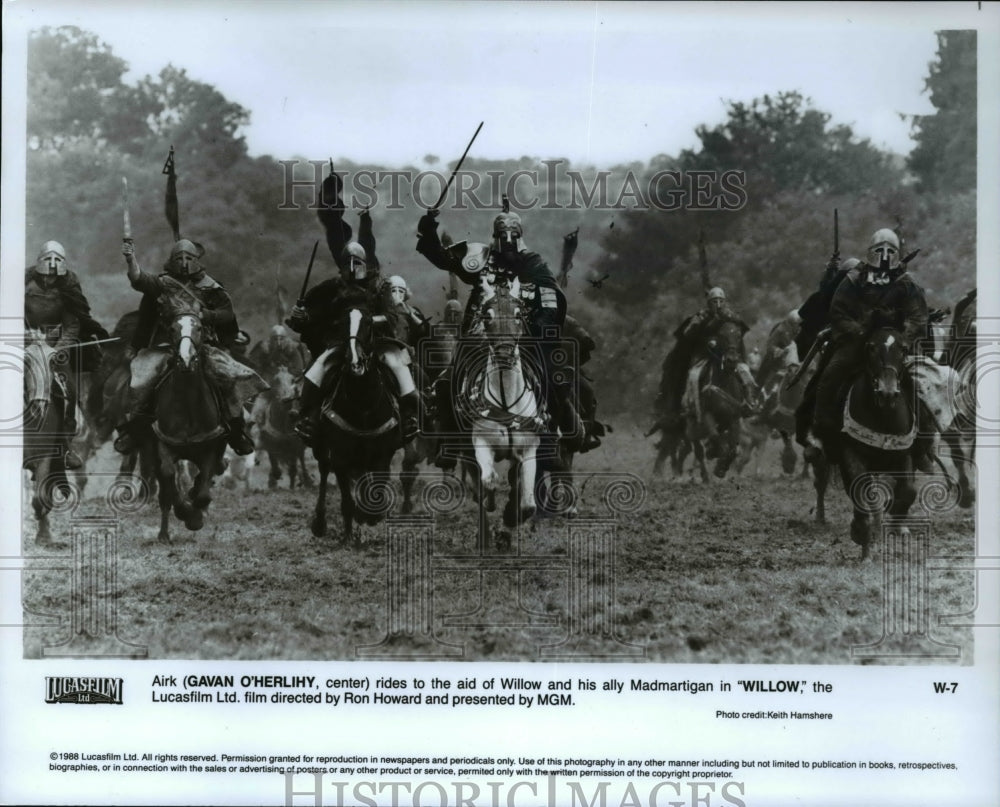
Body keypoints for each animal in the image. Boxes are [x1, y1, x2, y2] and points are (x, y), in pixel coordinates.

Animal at [310, 306, 400, 548]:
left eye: (368, 324)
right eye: (341, 324)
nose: (356, 362)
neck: (363, 404)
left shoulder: (382, 455)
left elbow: (375, 493)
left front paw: (369, 517)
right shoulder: (340, 457)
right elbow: (347, 500)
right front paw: (349, 535)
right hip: (323, 450)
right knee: (324, 473)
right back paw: (320, 523)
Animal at [816, 326, 916, 560]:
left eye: (904, 349)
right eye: (871, 347)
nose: (887, 393)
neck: (883, 417)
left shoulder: (903, 454)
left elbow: (908, 490)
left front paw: (897, 521)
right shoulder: (851, 455)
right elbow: (860, 493)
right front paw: (861, 534)